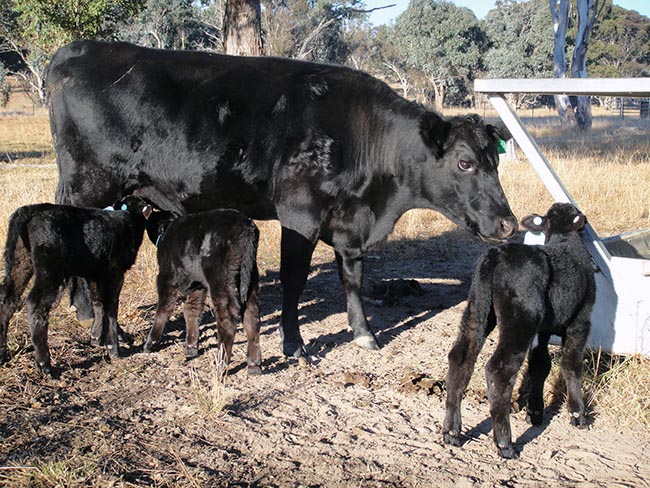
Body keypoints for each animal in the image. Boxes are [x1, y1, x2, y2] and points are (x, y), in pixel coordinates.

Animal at [0, 195, 152, 374]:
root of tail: (30, 210)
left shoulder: (94, 273)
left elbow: (98, 303)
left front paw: (95, 338)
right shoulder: (115, 273)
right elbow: (111, 307)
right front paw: (113, 348)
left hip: (20, 260)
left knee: (7, 300)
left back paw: (2, 353)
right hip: (50, 269)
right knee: (35, 303)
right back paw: (44, 364)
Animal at [143, 209, 262, 374]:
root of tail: (246, 225)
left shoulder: (165, 278)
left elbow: (163, 310)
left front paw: (150, 343)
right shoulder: (198, 286)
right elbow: (191, 310)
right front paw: (191, 348)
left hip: (220, 277)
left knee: (228, 316)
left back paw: (220, 365)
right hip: (250, 277)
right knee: (252, 315)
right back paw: (254, 365)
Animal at [442, 202, 596, 458]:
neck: (565, 240)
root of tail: (495, 256)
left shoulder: (543, 330)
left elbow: (540, 365)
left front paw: (535, 413)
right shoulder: (580, 320)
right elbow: (571, 365)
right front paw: (578, 415)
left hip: (477, 307)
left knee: (460, 357)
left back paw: (452, 432)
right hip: (521, 318)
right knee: (498, 370)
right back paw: (505, 443)